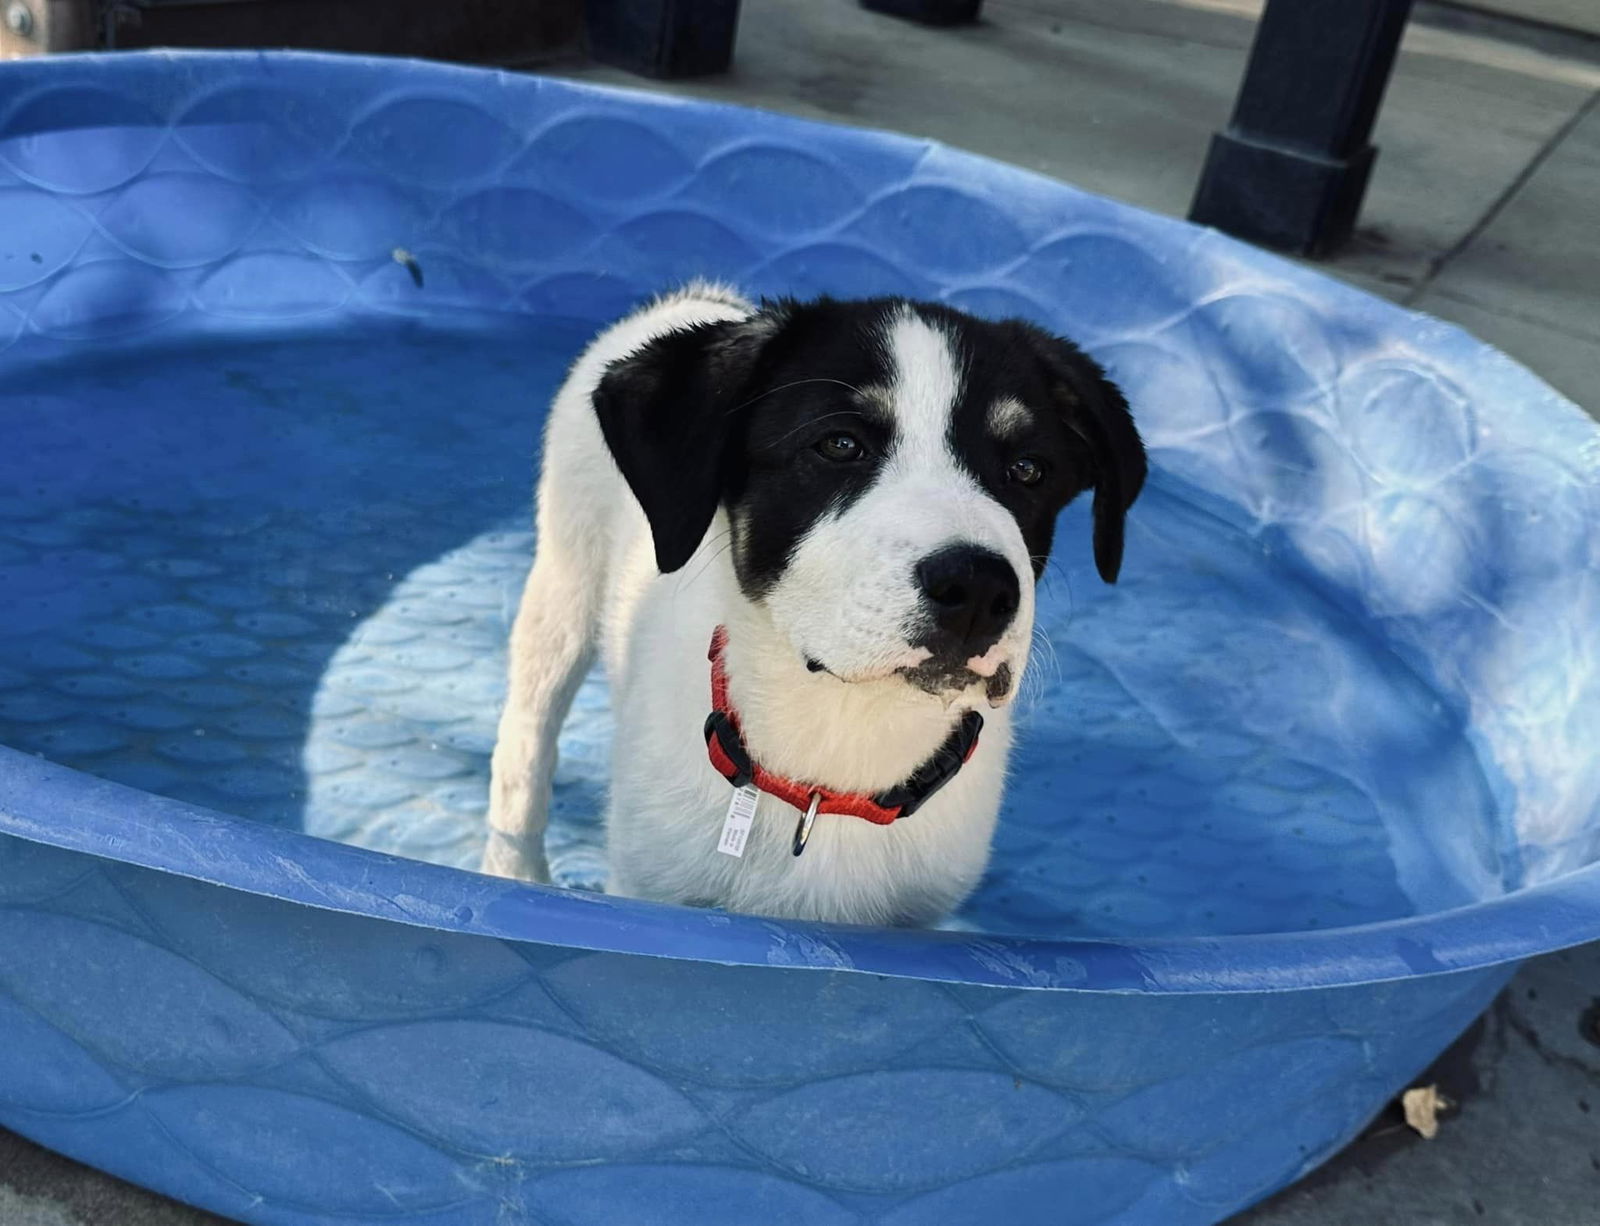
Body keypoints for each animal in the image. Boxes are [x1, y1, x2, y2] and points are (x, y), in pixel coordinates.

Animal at [480, 283, 1145, 928]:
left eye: (1028, 470)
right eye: (840, 444)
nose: (980, 591)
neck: (837, 756)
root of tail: (700, 297)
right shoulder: (649, 890)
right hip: (563, 584)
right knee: (525, 743)